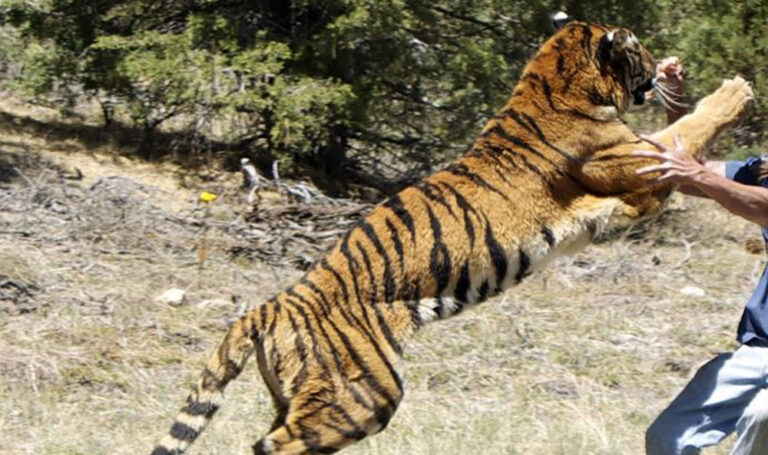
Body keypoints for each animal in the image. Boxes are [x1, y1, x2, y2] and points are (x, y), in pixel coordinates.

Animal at [152, 17, 753, 455]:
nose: (664, 64)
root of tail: (270, 306)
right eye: (641, 52)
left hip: (306, 395)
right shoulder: (644, 170)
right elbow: (689, 129)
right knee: (273, 446)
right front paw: (735, 91)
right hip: (363, 393)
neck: (552, 82)